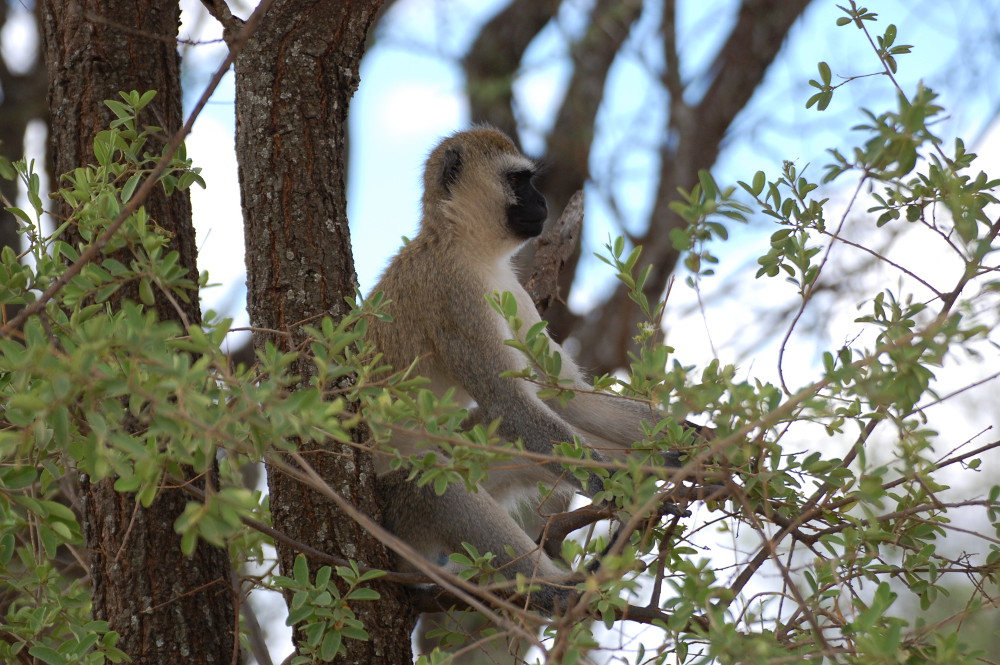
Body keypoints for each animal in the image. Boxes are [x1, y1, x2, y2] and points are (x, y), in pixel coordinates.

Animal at [372, 127, 676, 608]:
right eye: (518, 181)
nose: (543, 203)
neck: (465, 248)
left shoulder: (510, 290)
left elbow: (566, 395)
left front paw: (700, 445)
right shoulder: (455, 296)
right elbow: (509, 403)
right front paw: (616, 486)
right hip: (396, 518)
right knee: (434, 477)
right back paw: (562, 593)